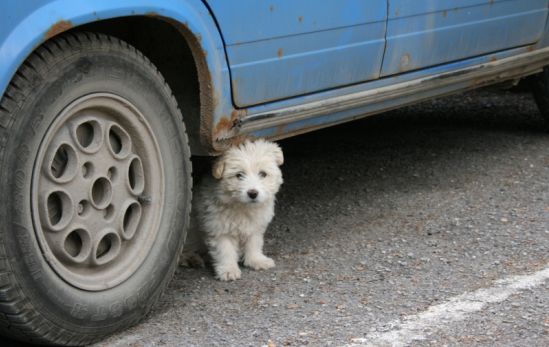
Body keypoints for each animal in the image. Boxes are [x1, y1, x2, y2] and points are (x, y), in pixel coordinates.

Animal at [183, 139, 282, 280]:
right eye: (239, 175)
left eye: (263, 174)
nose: (253, 193)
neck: (242, 207)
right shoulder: (218, 230)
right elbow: (225, 251)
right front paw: (228, 270)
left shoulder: (255, 226)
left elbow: (254, 243)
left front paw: (256, 260)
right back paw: (191, 258)